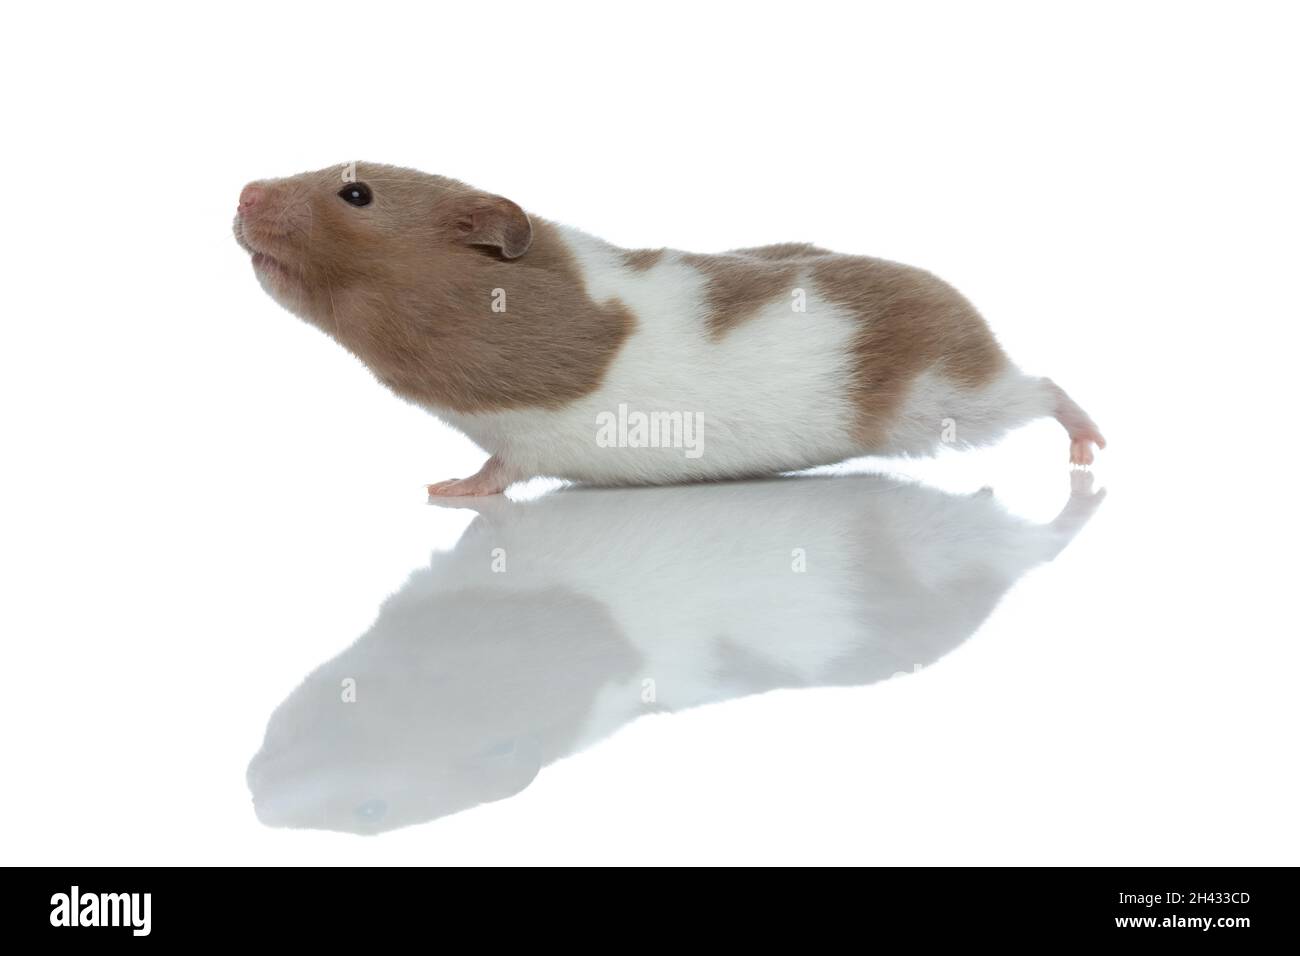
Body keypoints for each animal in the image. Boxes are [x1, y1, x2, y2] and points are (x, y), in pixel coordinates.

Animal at [233, 162, 1105, 496]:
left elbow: (498, 469)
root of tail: (969, 316)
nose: (242, 193)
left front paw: (444, 491)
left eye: (357, 195)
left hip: (950, 402)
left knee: (1047, 388)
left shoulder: (524, 438)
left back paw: (1087, 448)